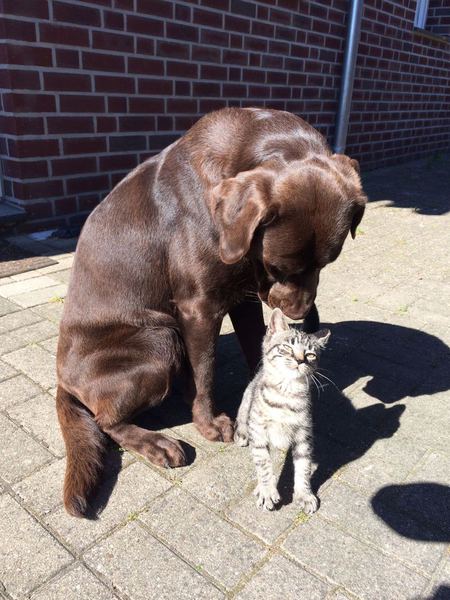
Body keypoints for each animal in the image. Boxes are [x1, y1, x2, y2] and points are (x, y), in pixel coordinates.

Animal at [234, 308, 330, 512]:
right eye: (287, 348)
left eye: (311, 354)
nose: (300, 360)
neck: (286, 396)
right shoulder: (259, 431)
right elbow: (263, 463)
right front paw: (266, 490)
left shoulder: (304, 435)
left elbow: (304, 467)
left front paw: (304, 494)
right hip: (247, 406)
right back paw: (242, 435)